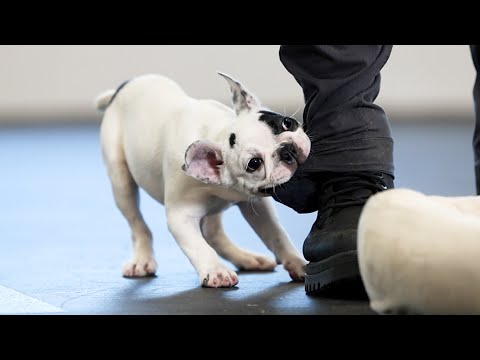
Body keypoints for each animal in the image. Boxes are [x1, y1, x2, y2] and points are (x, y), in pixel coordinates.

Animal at [96, 71, 312, 288]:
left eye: (287, 123)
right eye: (254, 163)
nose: (287, 149)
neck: (217, 132)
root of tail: (124, 86)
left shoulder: (257, 205)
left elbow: (276, 234)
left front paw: (297, 263)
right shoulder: (180, 216)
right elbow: (198, 246)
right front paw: (216, 271)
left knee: (212, 232)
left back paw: (247, 258)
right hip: (121, 181)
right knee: (138, 225)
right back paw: (142, 261)